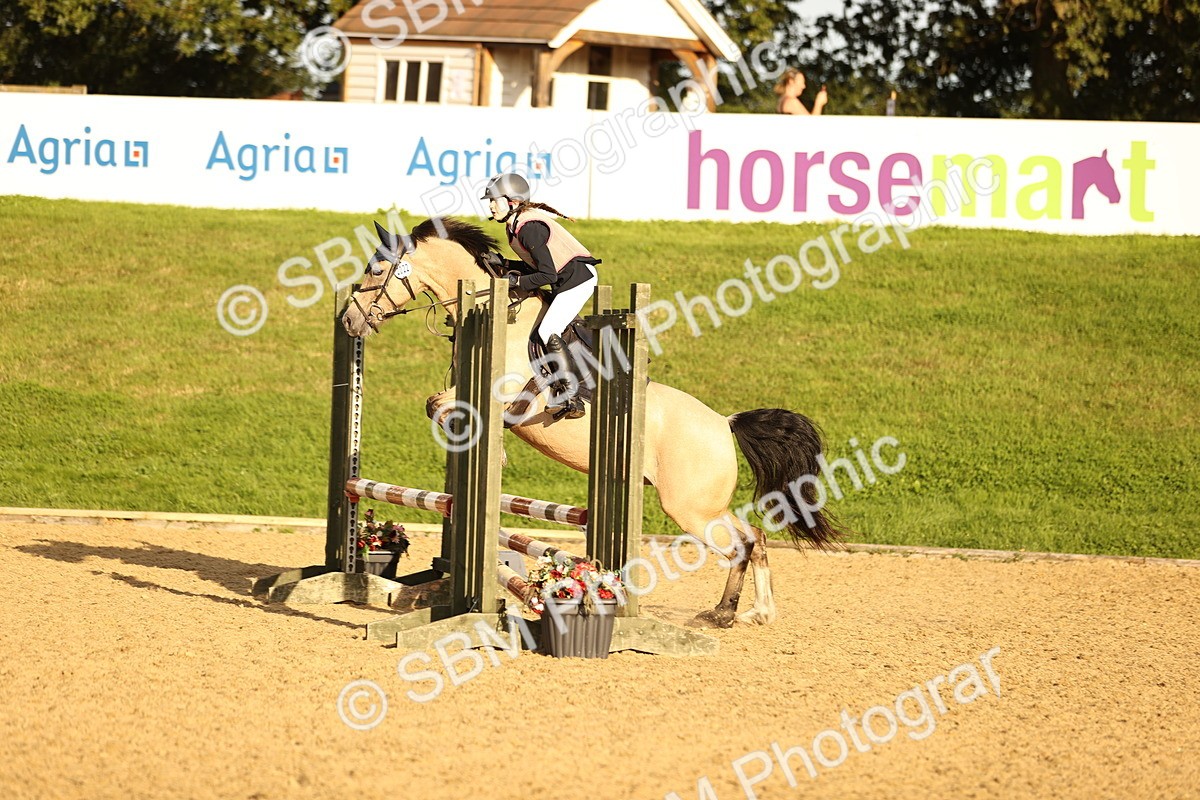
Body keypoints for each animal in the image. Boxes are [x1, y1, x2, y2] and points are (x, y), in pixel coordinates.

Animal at [341, 217, 843, 627]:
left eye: (375, 270)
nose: (348, 320)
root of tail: (725, 422)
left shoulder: (508, 398)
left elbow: (440, 405)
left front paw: (492, 453)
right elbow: (435, 402)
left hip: (688, 508)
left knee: (740, 545)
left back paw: (723, 615)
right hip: (704, 506)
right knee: (755, 537)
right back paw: (756, 612)